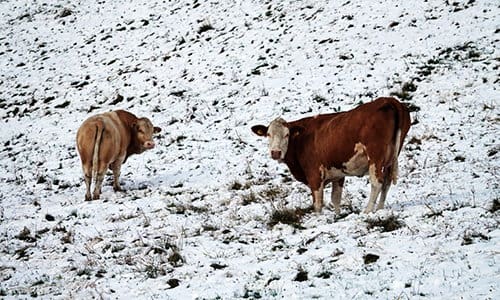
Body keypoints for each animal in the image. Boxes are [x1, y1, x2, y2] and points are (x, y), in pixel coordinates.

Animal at [252, 96, 412, 213]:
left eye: (287, 135)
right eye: (268, 134)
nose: (275, 152)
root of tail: (389, 100)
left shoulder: (314, 174)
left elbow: (317, 203)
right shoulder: (338, 173)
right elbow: (336, 199)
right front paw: (336, 215)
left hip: (375, 156)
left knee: (377, 182)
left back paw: (367, 211)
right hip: (391, 156)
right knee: (386, 182)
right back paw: (379, 209)